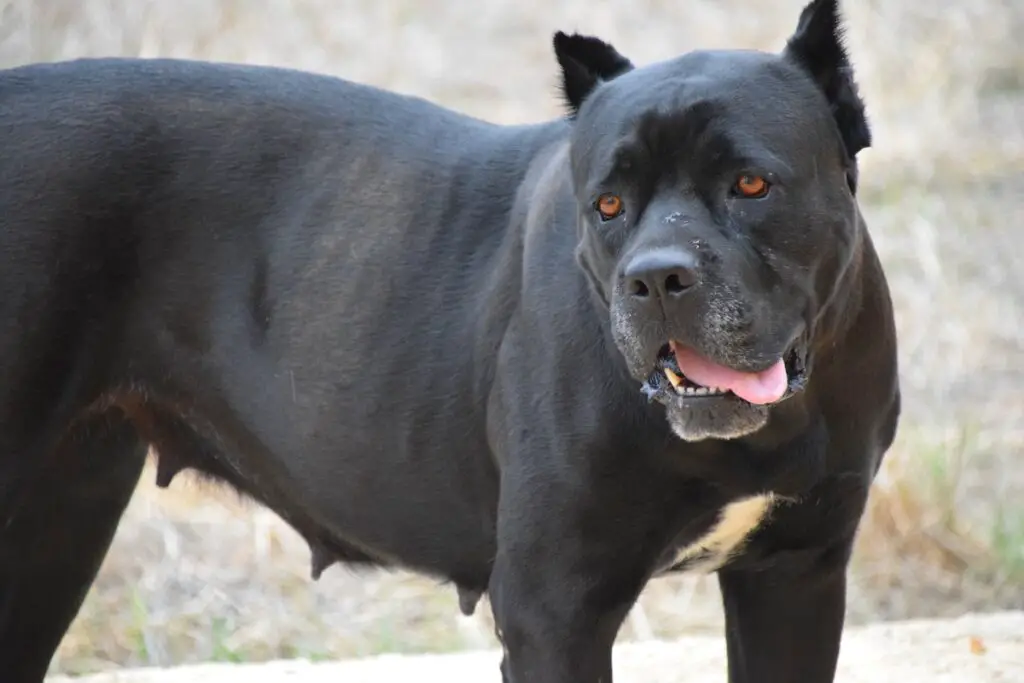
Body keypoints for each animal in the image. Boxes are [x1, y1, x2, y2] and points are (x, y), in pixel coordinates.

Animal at [0, 0, 897, 679]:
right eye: (608, 204)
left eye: (751, 183)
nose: (656, 277)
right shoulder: (554, 607)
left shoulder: (796, 576)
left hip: (61, 517)